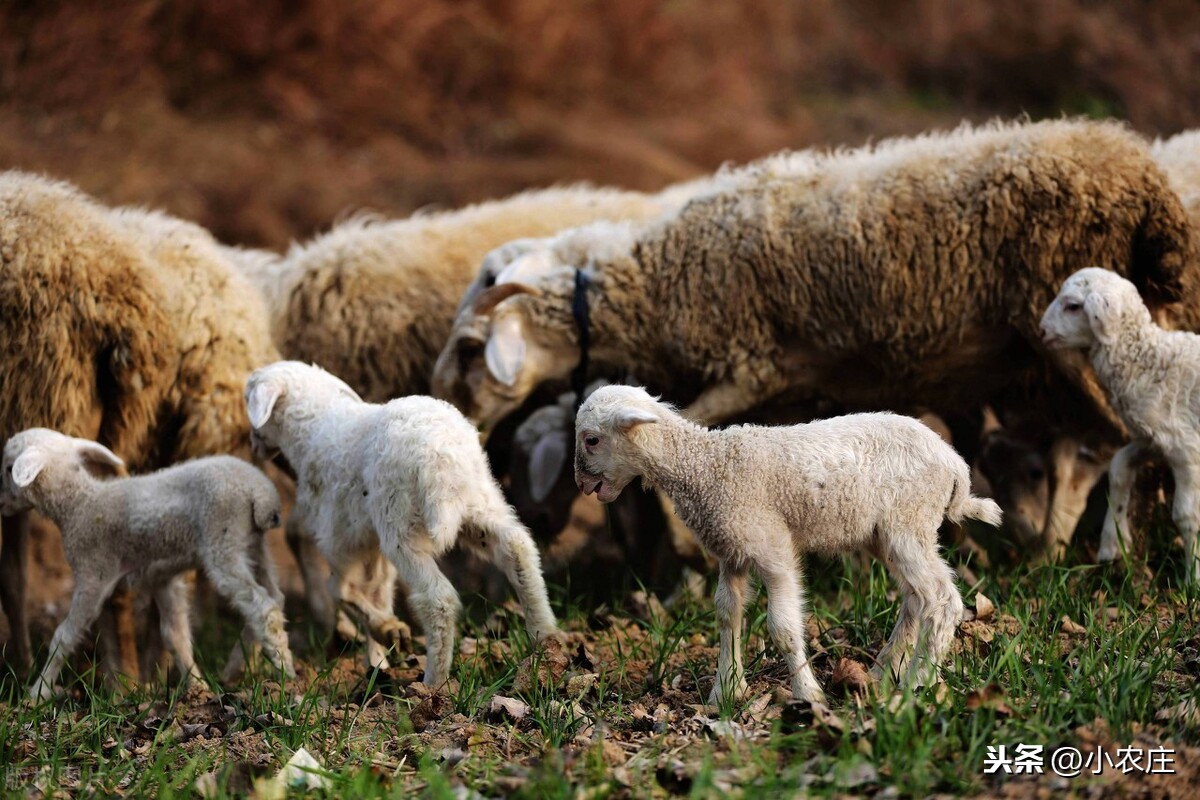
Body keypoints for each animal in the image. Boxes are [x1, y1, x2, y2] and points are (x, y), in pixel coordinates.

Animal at [0, 431, 290, 700]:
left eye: (8, 468)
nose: (1, 504)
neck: (80, 504)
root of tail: (261, 494)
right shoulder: (161, 578)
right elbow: (174, 635)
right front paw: (197, 687)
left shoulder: (94, 572)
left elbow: (64, 636)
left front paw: (38, 692)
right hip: (253, 542)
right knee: (274, 597)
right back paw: (239, 667)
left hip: (223, 539)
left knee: (263, 607)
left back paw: (285, 672)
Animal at [246, 362, 564, 690]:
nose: (253, 444)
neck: (313, 428)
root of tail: (441, 455)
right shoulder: (368, 539)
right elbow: (377, 589)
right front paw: (381, 653)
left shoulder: (338, 535)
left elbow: (340, 587)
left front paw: (383, 634)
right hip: (479, 503)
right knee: (518, 548)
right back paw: (544, 639)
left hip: (400, 524)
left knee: (438, 599)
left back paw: (434, 682)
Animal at [573, 386, 1003, 700]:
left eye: (591, 440)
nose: (582, 485)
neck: (704, 466)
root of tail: (954, 465)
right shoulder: (733, 548)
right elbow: (727, 613)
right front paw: (725, 691)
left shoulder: (772, 546)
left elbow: (782, 627)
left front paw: (808, 694)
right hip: (887, 534)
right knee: (916, 598)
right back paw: (882, 674)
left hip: (909, 523)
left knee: (941, 600)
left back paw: (917, 685)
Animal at [1041, 268, 1200, 582]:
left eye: (1073, 306)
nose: (1042, 331)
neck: (1148, 361)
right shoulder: (1150, 438)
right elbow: (1118, 468)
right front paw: (1111, 544)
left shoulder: (1186, 448)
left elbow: (1186, 516)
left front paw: (1193, 579)